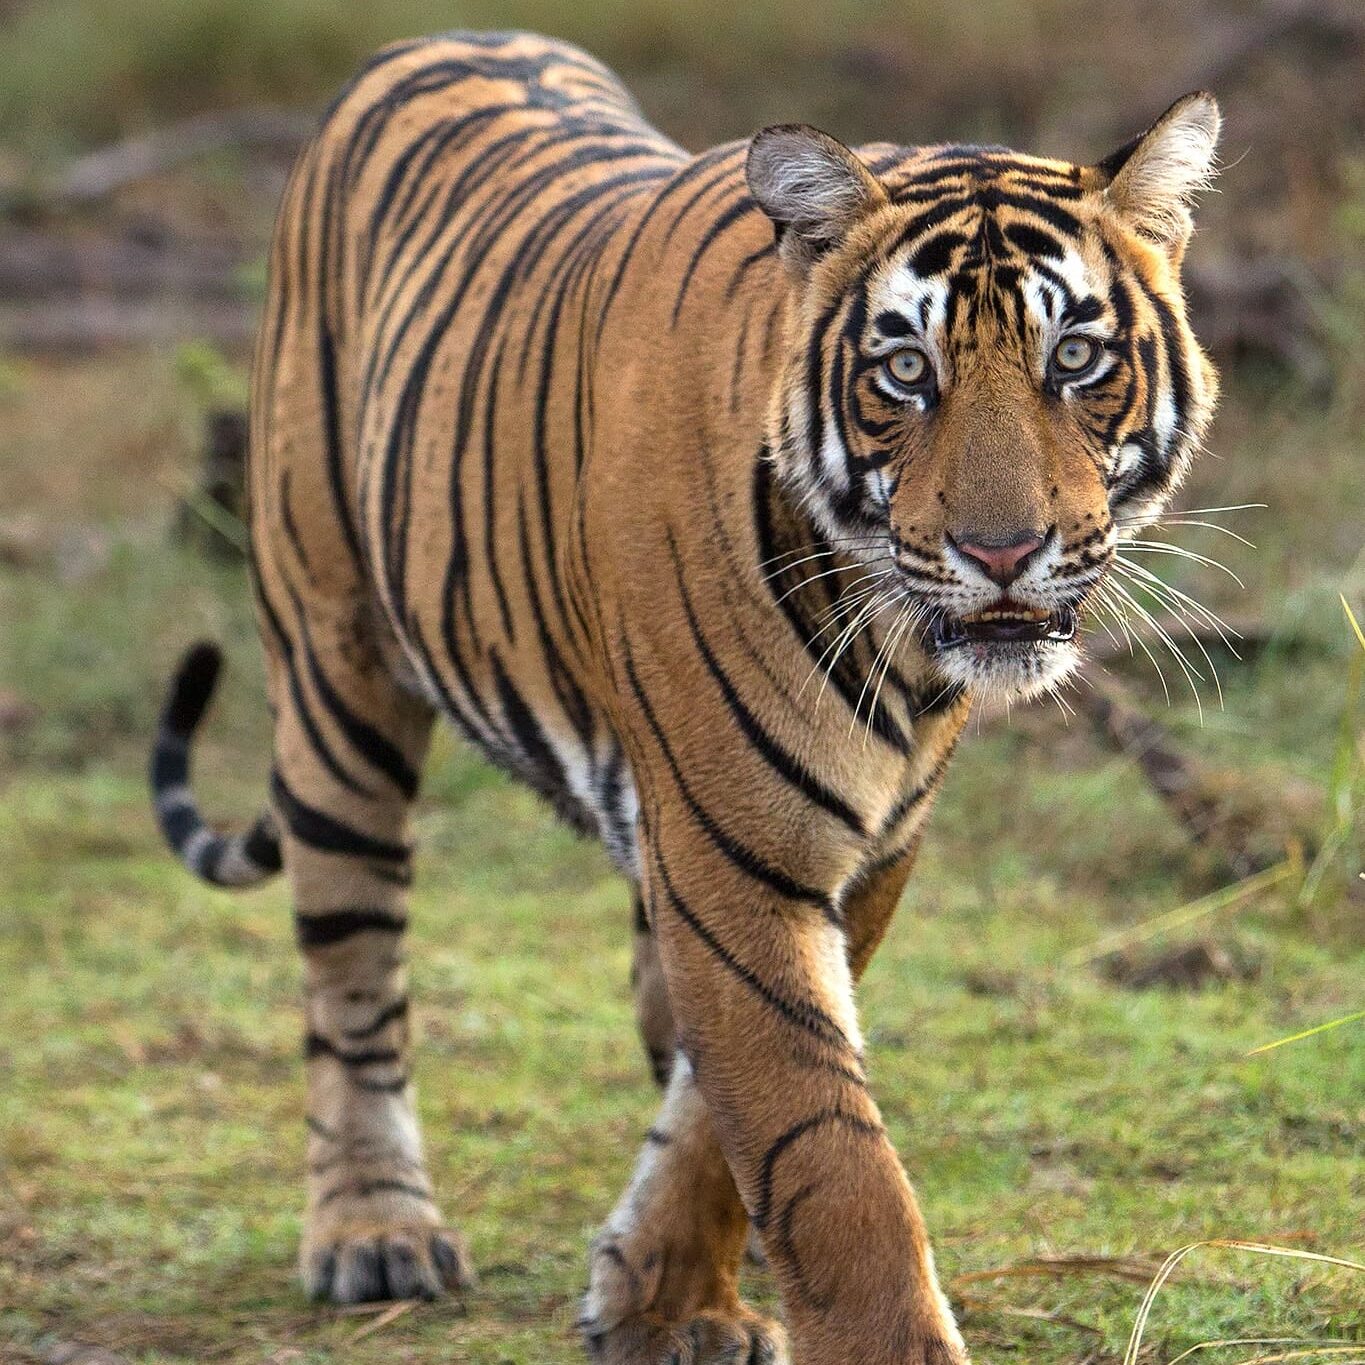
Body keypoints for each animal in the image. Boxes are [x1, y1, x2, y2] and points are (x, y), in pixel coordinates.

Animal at [146, 29, 1217, 1365]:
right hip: (333, 676)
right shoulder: (735, 847)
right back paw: (371, 1229)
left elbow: (725, 1105)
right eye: (904, 371)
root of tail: (437, 38)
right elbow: (824, 1150)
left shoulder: (861, 847)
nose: (1004, 551)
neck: (898, 648)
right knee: (352, 981)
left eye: (1074, 357)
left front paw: (664, 1298)